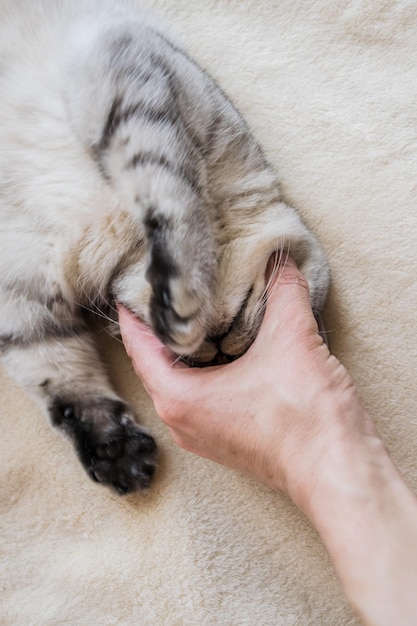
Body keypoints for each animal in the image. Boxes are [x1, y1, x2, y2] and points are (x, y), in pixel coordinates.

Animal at [0, 1, 330, 492]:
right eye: (246, 311)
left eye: (225, 359)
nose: (218, 348)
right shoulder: (127, 85)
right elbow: (176, 204)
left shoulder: (25, 287)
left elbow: (64, 379)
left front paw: (117, 455)